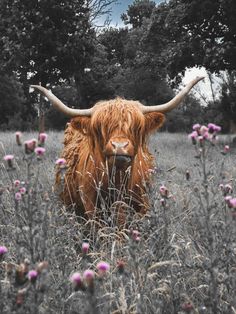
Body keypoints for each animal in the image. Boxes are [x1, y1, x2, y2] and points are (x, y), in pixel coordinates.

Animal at [32, 77, 204, 222]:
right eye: (100, 128)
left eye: (136, 127)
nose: (119, 146)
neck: (118, 182)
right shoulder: (91, 204)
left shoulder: (141, 204)